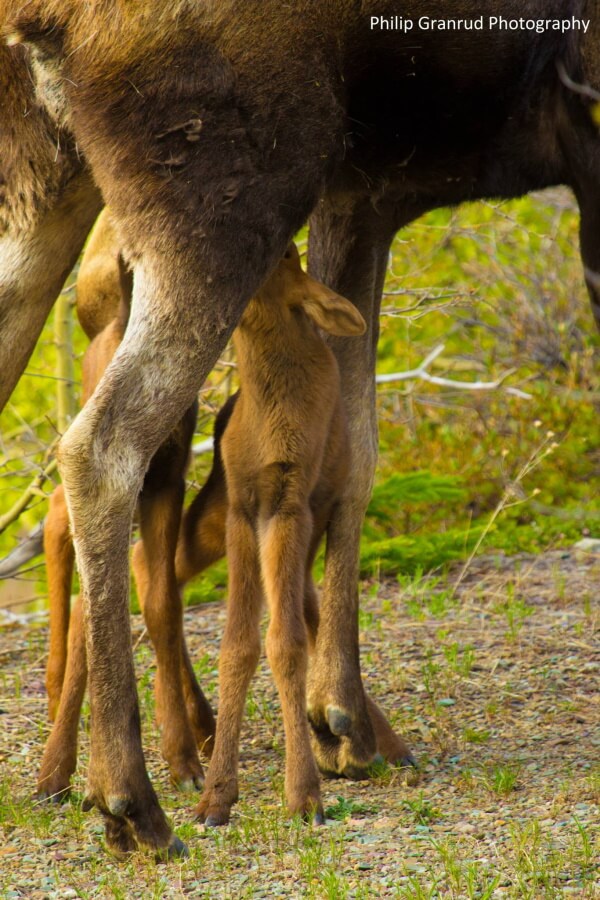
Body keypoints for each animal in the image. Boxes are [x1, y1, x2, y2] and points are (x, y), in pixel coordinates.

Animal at [1, 0, 599, 855]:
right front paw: (334, 722)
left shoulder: (368, 192)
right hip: (227, 186)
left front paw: (342, 717)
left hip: (46, 182)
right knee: (99, 449)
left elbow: (356, 449)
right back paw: (130, 793)